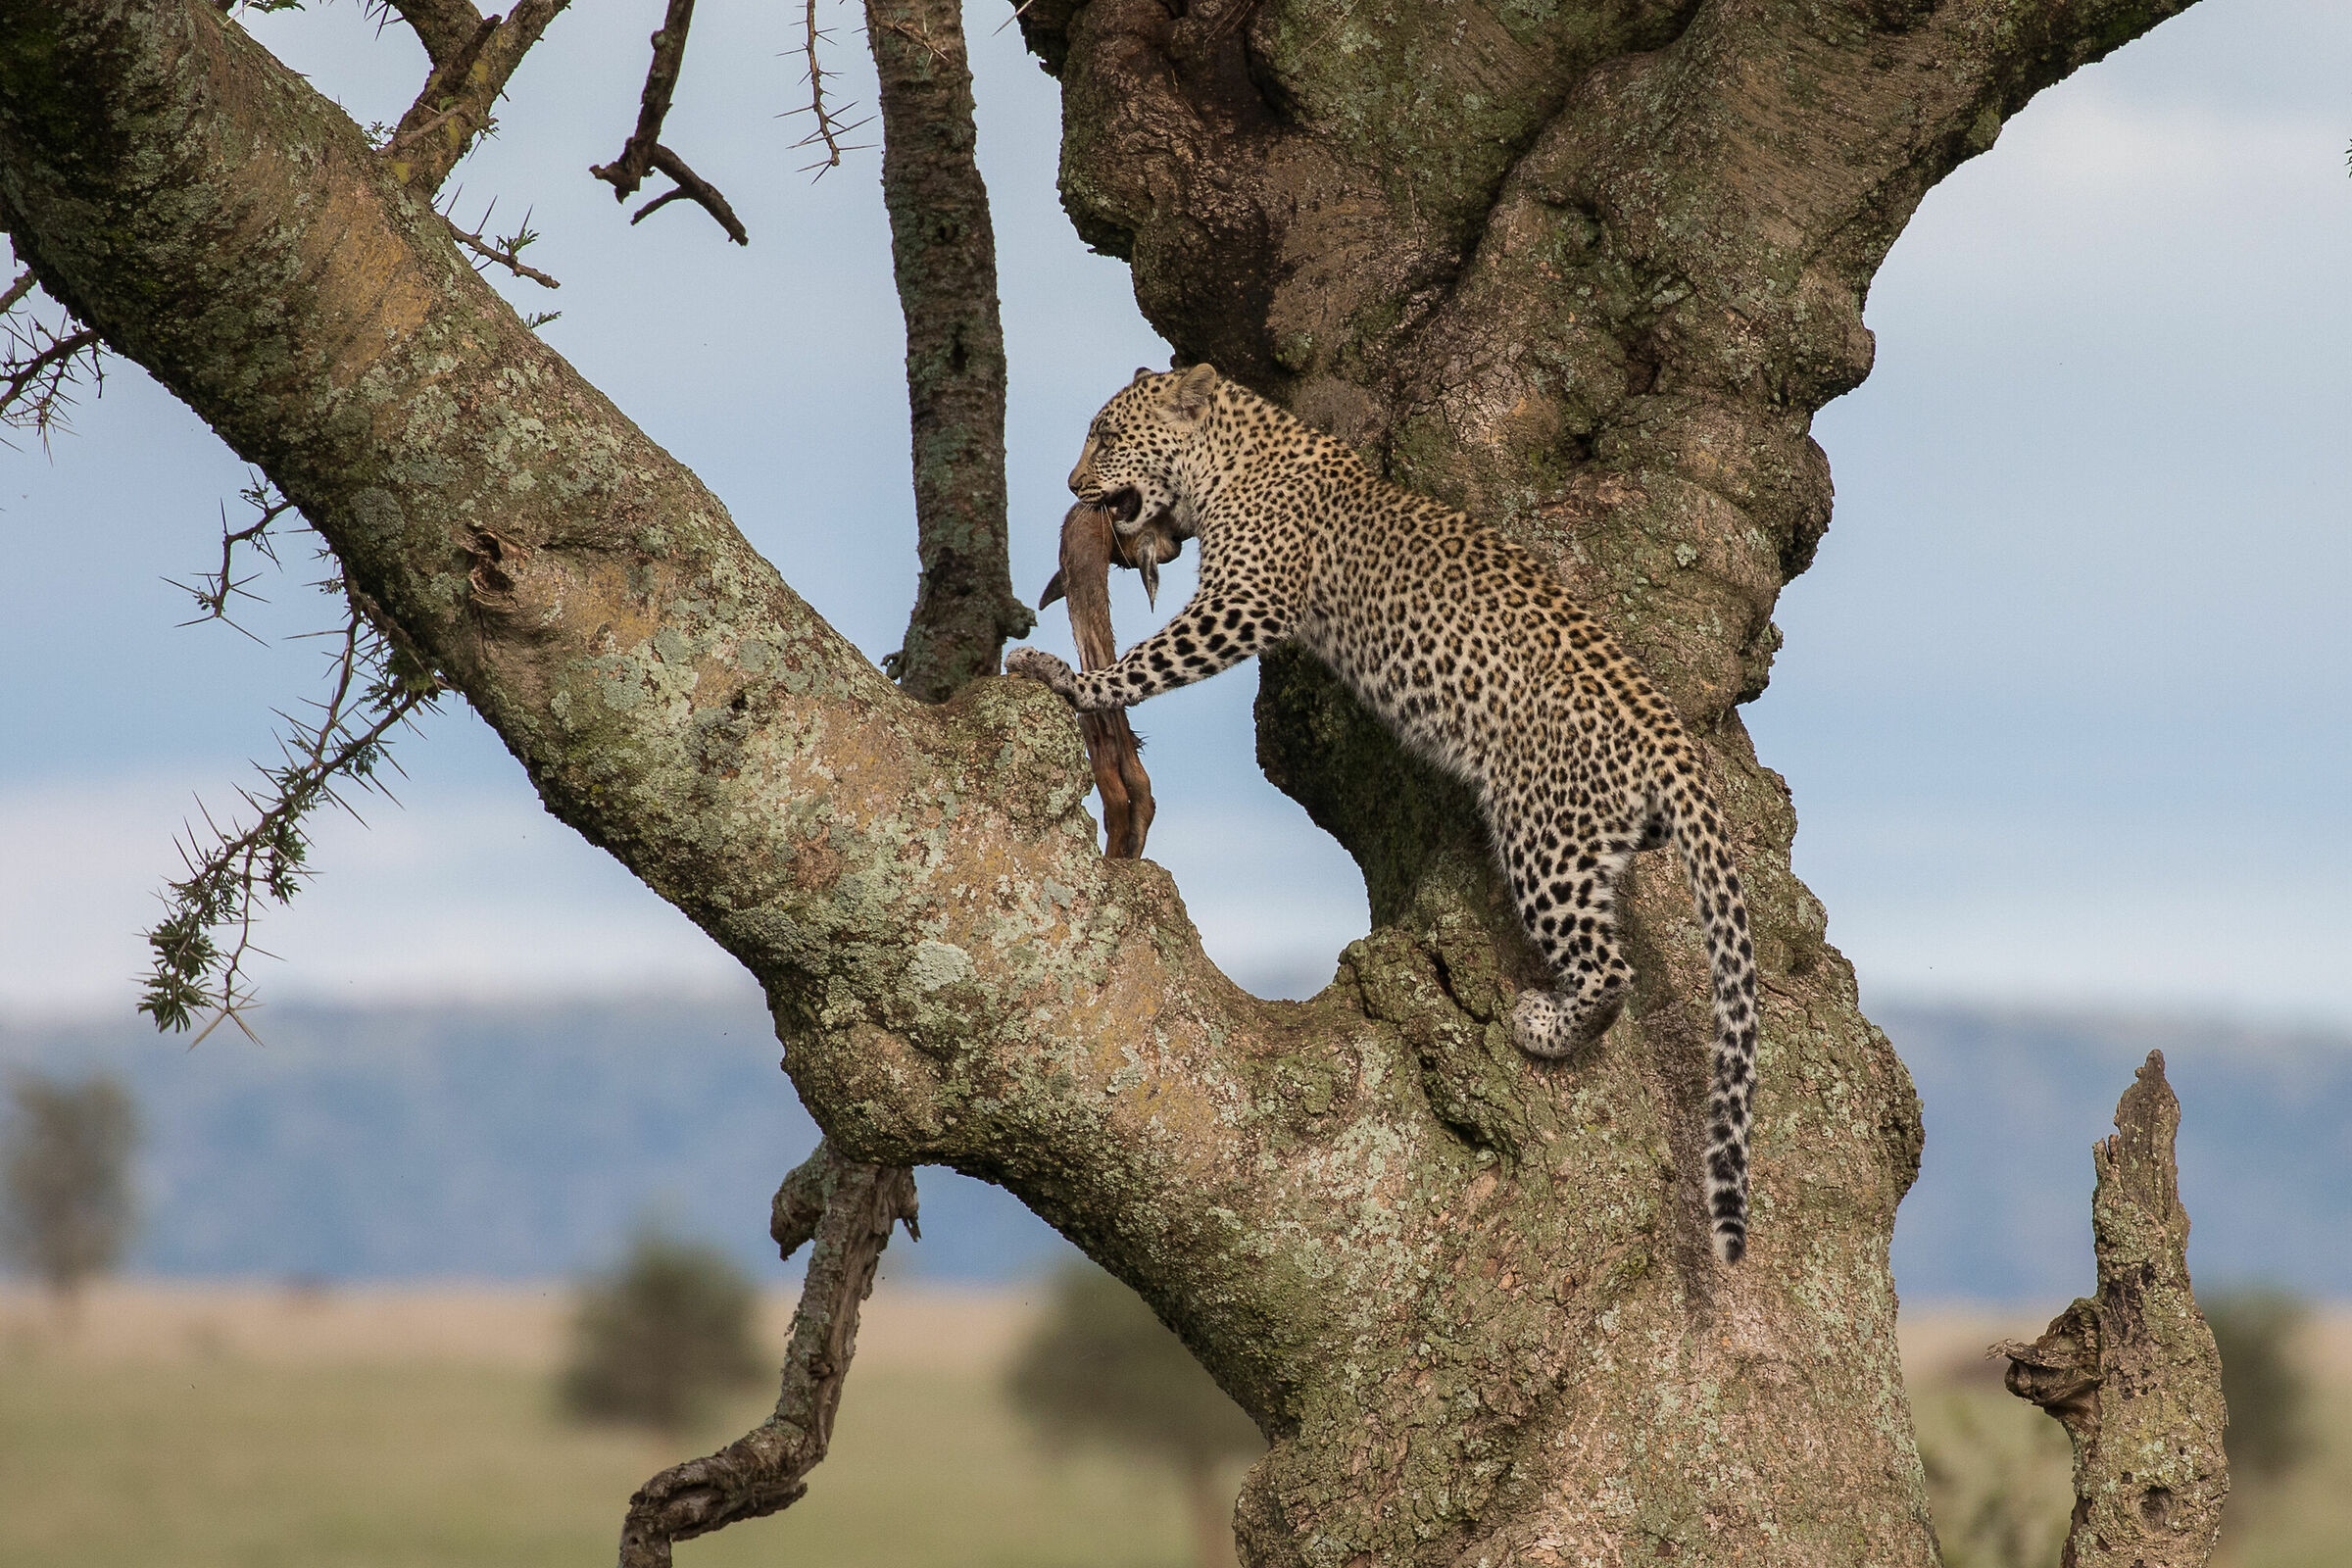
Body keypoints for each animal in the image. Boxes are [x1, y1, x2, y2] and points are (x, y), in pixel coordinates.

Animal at [1004, 364, 1759, 1264]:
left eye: (1108, 436)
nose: (1071, 486)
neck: (1232, 454)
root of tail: (1669, 736)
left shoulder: (1245, 602)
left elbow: (1148, 662)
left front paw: (1066, 676)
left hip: (1546, 837)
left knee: (1609, 967)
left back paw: (1542, 1025)